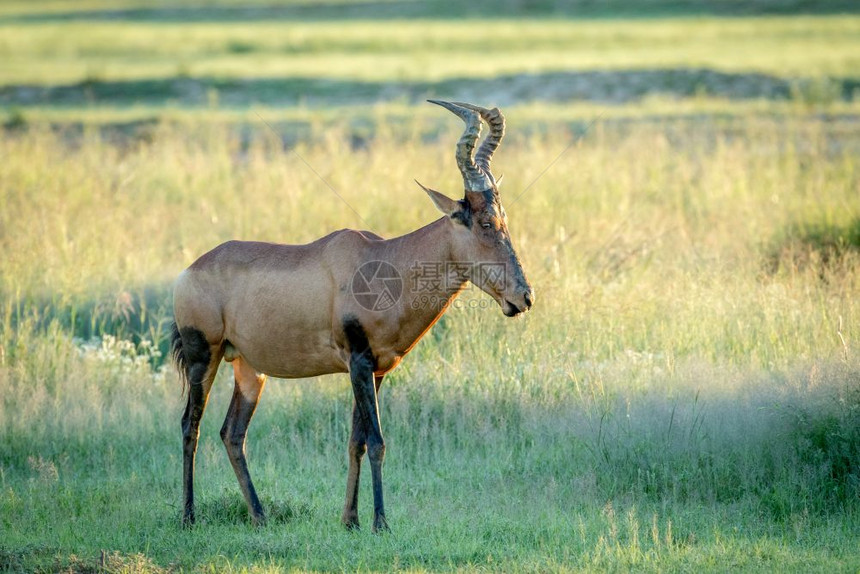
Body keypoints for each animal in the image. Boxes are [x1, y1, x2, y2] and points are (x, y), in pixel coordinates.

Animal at [169, 100, 536, 536]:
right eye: (484, 222)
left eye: (505, 220)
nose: (524, 297)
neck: (385, 261)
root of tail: (189, 270)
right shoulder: (358, 362)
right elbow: (377, 442)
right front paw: (380, 522)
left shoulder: (376, 371)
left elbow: (356, 441)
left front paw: (350, 520)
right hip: (202, 355)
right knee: (189, 426)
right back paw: (188, 516)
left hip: (248, 368)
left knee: (232, 433)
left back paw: (258, 516)